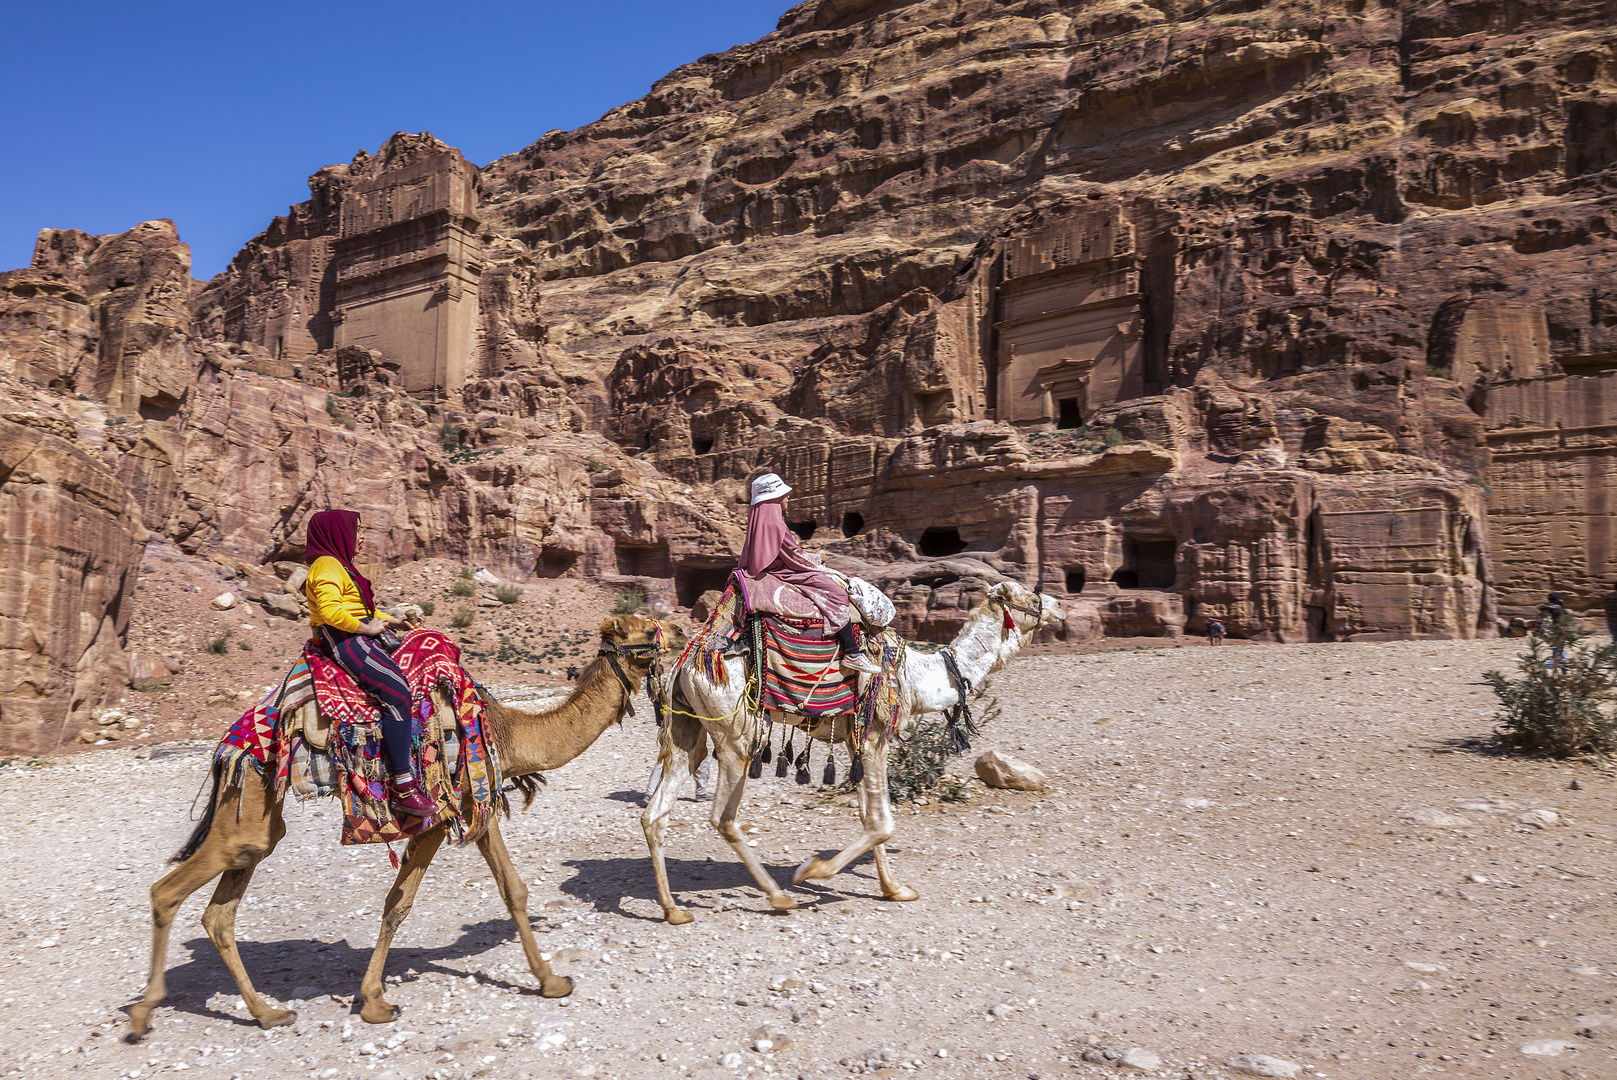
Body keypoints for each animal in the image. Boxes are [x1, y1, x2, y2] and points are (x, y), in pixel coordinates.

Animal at [127, 607, 675, 1034]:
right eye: (644, 631)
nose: (677, 628)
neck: (508, 731)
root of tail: (227, 748)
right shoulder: (443, 813)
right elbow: (410, 901)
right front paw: (376, 1003)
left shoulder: (473, 805)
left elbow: (495, 890)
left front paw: (548, 980)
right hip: (249, 803)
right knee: (166, 892)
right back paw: (143, 1013)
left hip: (254, 818)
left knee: (221, 909)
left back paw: (267, 1013)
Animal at [637, 578, 1067, 924]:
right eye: (1033, 596)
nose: (1061, 606)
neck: (917, 678)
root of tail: (686, 663)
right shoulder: (876, 734)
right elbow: (882, 823)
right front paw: (813, 872)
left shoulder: (855, 739)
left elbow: (868, 816)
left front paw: (895, 889)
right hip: (736, 735)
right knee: (722, 816)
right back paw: (779, 897)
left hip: (688, 731)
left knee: (655, 812)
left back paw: (673, 909)